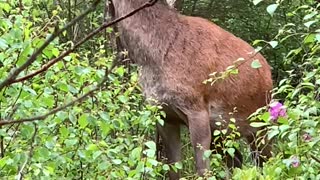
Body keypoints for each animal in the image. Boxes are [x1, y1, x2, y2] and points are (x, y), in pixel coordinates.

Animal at [110, 0, 272, 179]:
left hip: (261, 124)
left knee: (266, 161)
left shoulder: (196, 109)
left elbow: (202, 171)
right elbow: (174, 169)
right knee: (237, 159)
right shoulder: (165, 115)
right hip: (222, 132)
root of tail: (268, 71)